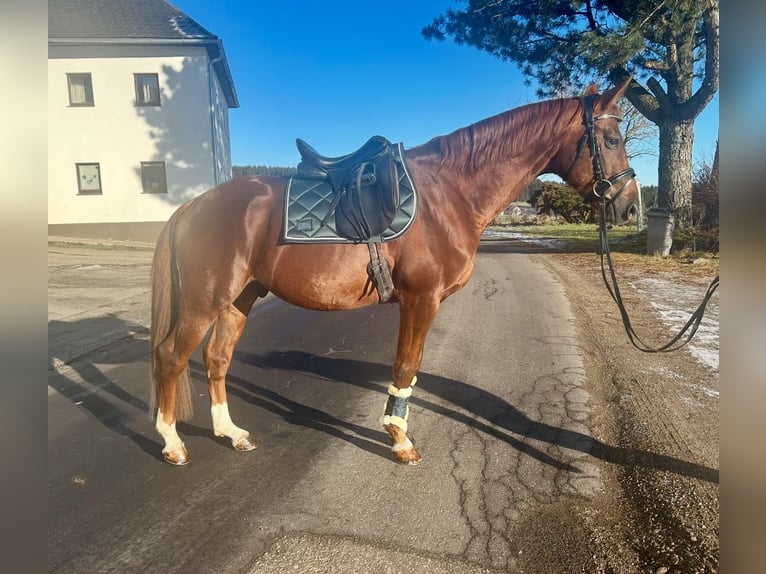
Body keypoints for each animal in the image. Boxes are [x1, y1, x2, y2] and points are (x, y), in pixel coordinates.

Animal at [150, 80, 640, 468]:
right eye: (612, 139)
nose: (630, 205)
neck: (449, 192)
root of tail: (192, 205)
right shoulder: (421, 298)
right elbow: (406, 366)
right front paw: (399, 438)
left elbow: (411, 368)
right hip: (204, 300)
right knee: (171, 357)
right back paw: (172, 443)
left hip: (240, 297)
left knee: (217, 359)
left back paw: (231, 434)